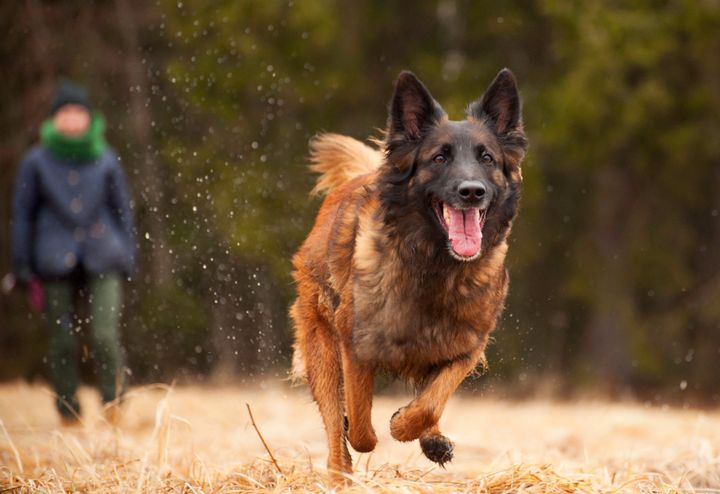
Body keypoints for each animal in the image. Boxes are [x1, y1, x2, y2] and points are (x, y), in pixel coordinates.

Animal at [288, 67, 528, 484]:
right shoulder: (355, 346)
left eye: (487, 157)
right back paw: (340, 476)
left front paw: (409, 426)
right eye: (439, 157)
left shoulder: (467, 345)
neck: (434, 263)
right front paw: (370, 430)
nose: (472, 191)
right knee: (335, 427)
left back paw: (432, 439)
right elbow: (362, 426)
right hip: (321, 345)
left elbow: (430, 403)